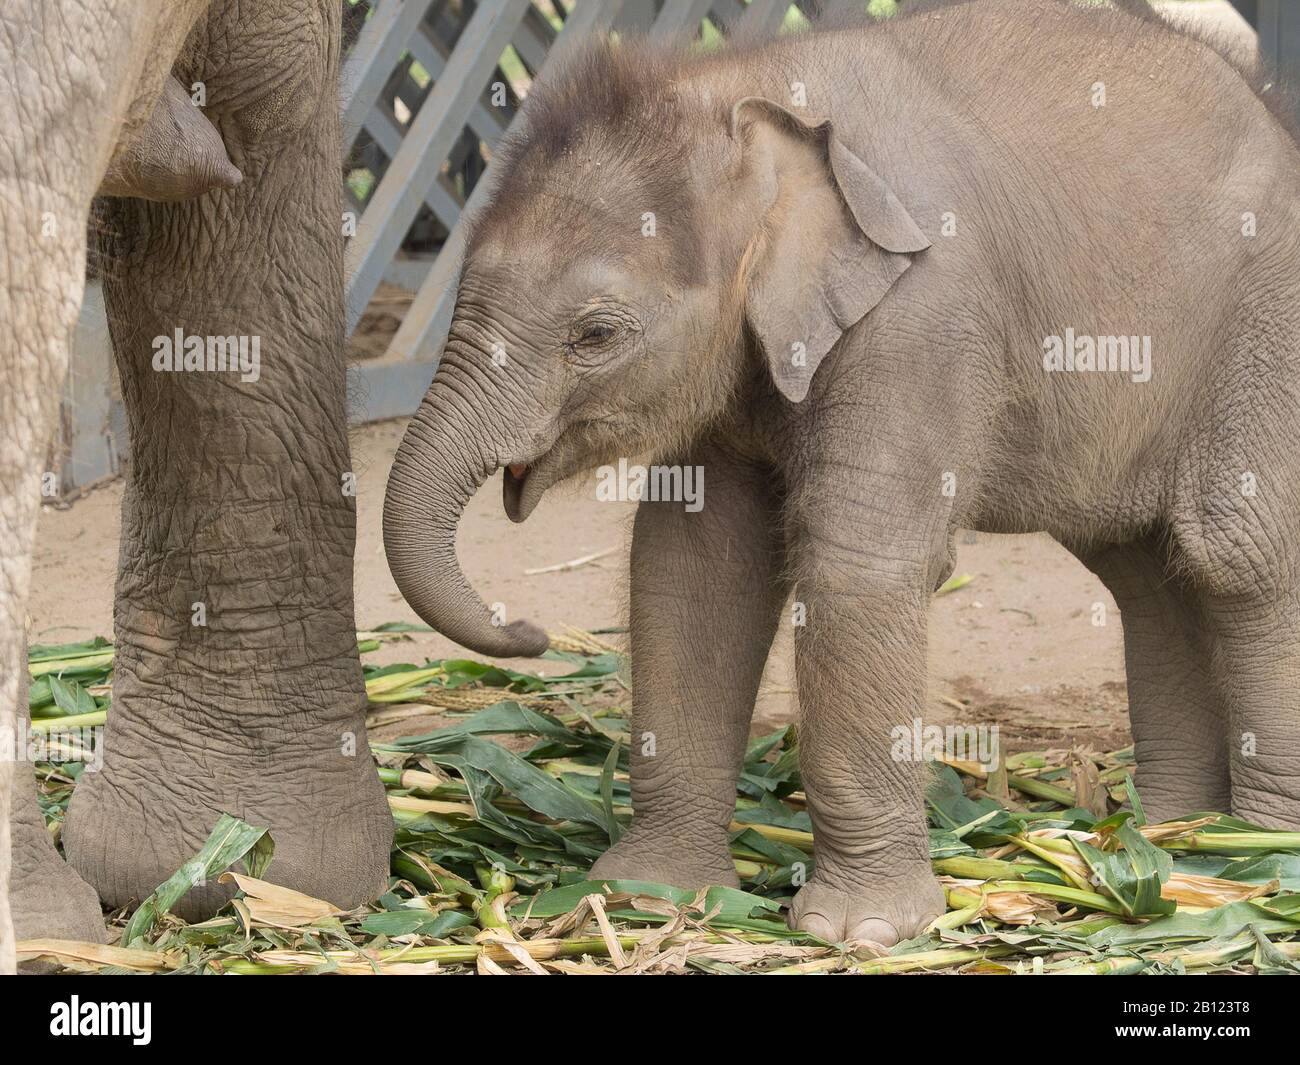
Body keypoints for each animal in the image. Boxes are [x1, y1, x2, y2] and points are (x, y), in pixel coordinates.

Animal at [384, 2, 1300, 951]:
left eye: (595, 334)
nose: (529, 630)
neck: (749, 94)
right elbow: (694, 565)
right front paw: (650, 894)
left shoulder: (922, 315)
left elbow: (856, 565)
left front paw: (858, 931)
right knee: (1142, 567)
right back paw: (1170, 836)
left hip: (1264, 317)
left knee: (1232, 550)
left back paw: (1254, 855)